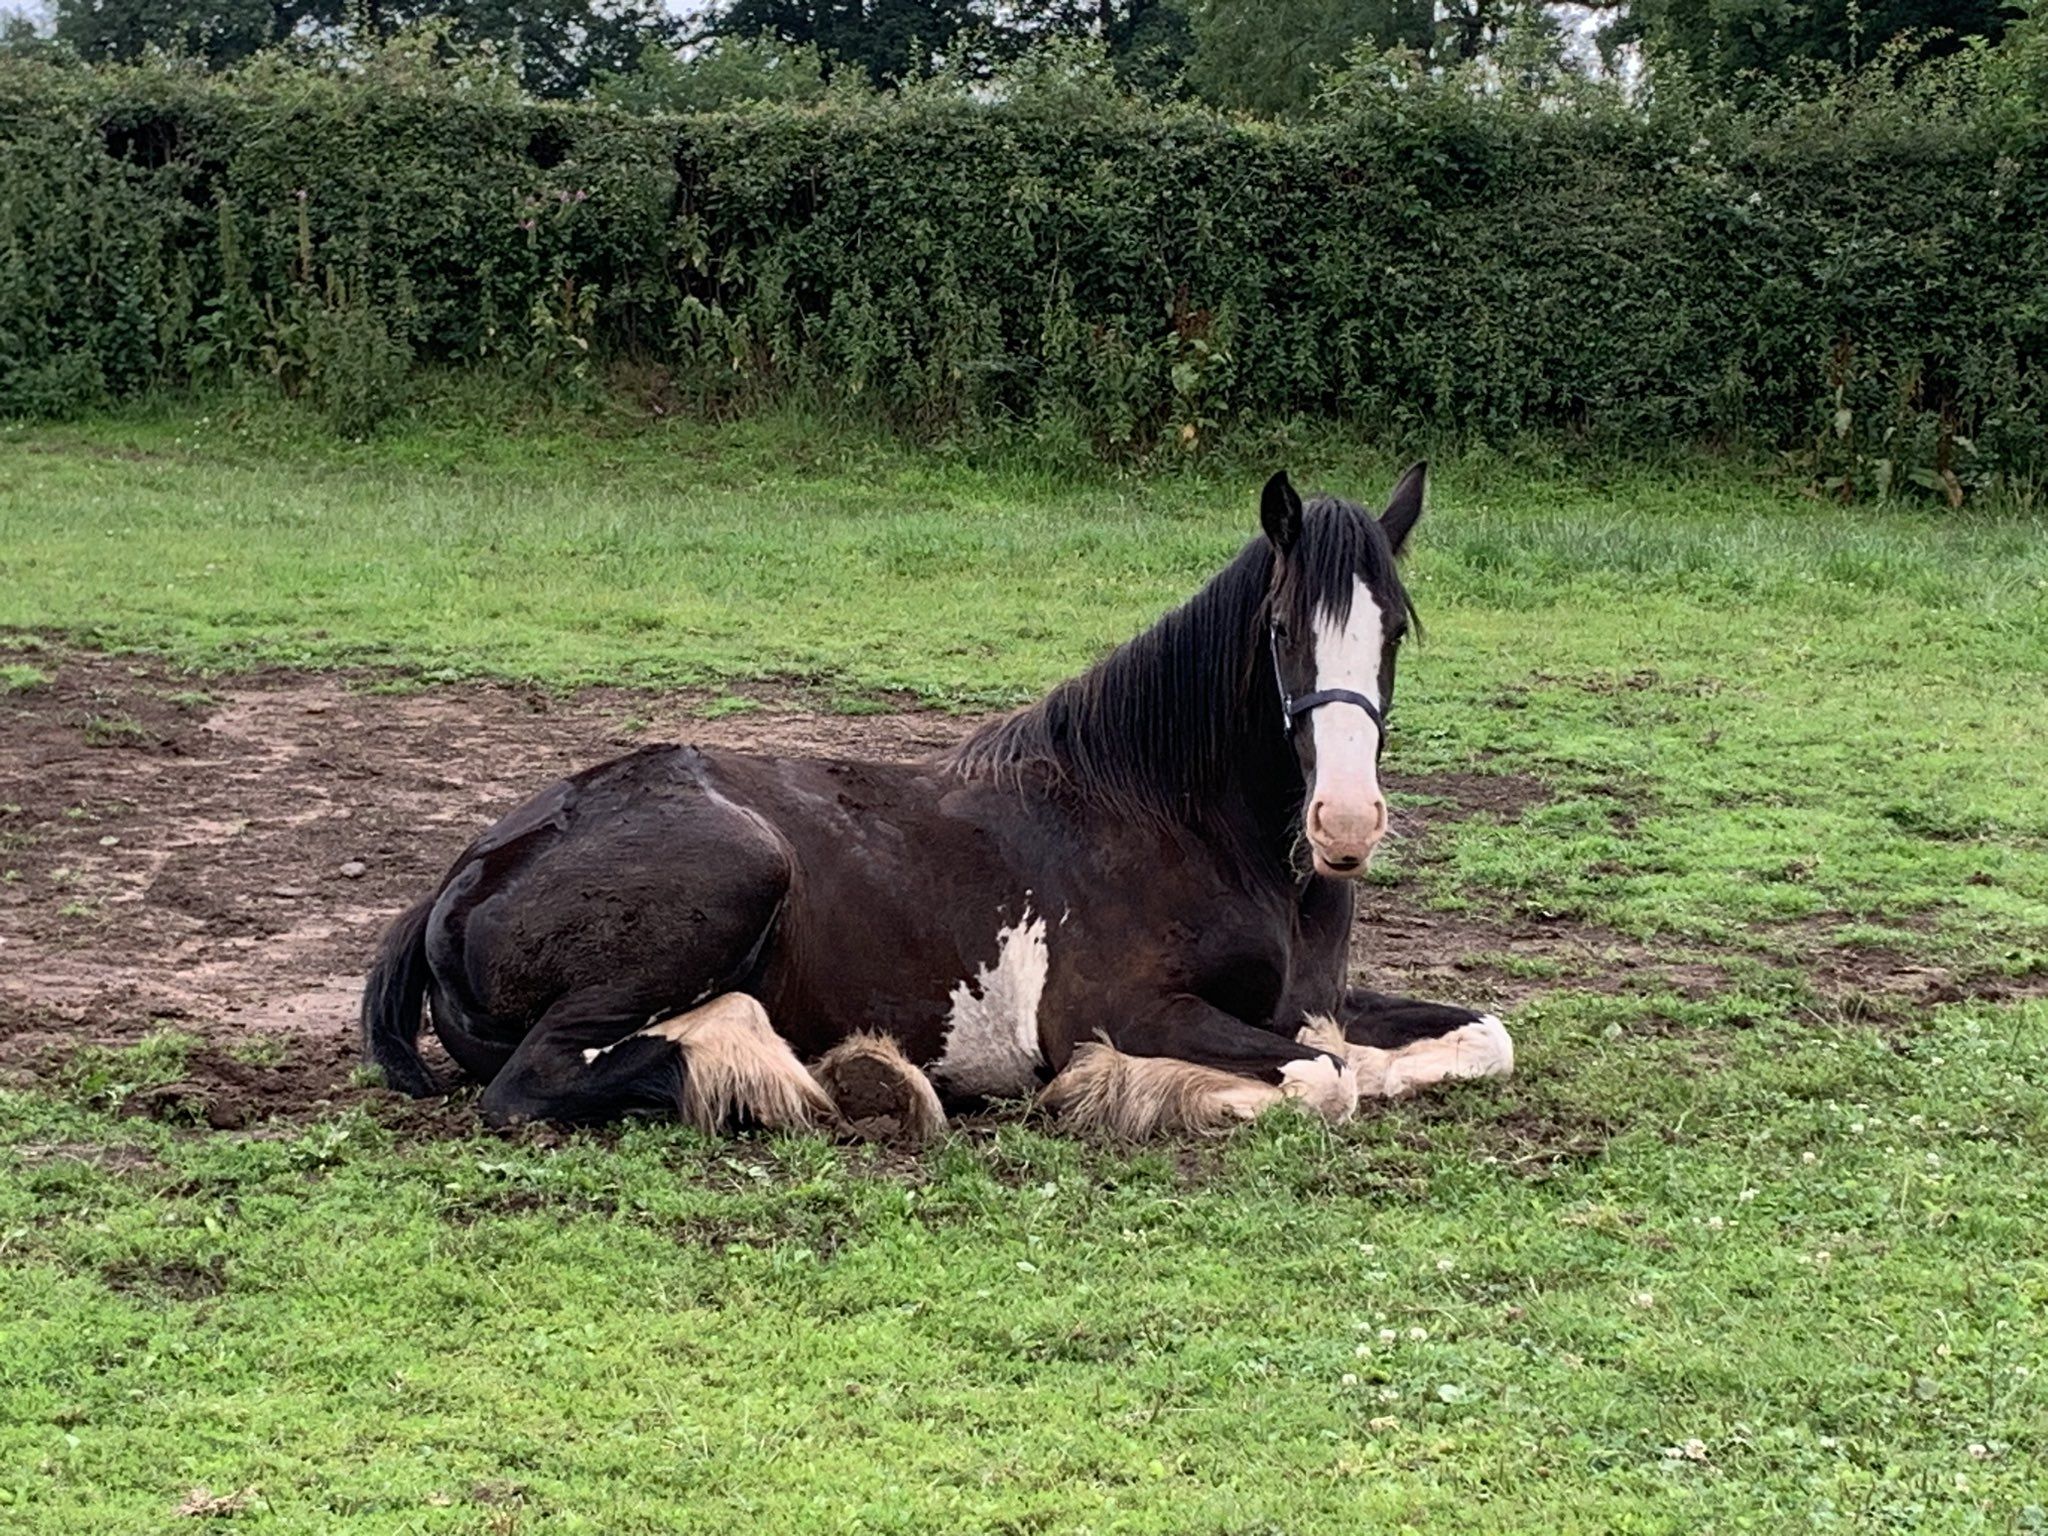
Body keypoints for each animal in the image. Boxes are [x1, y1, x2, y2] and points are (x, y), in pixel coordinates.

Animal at [360, 466, 1514, 1136]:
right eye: (1280, 630)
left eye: (1394, 631)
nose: (1345, 827)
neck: (1180, 822)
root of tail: (460, 877)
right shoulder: (1130, 1008)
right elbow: (1321, 1079)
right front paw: (1129, 1088)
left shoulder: (1307, 997)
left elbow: (1470, 1040)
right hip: (732, 870)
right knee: (535, 1085)